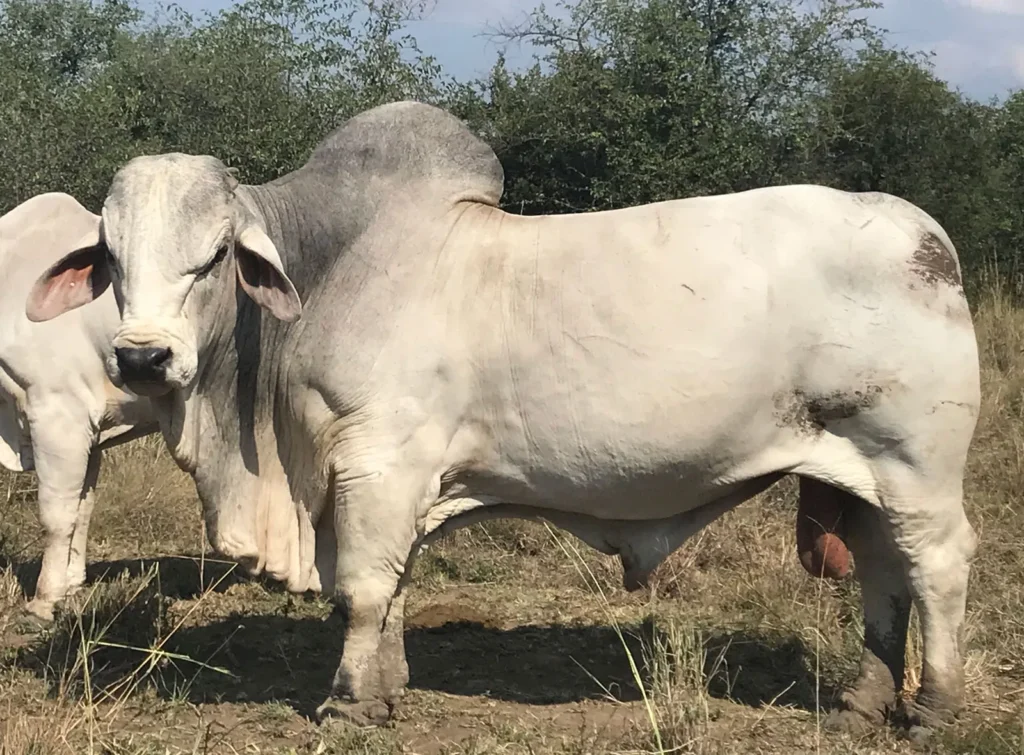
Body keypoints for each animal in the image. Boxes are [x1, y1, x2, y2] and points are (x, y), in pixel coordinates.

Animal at [0, 193, 158, 621]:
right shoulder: (92, 428)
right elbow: (82, 508)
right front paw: (71, 586)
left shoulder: (59, 414)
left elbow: (57, 513)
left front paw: (43, 600)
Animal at [25, 101, 980, 739]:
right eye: (110, 256)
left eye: (215, 254)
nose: (143, 359)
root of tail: (927, 237)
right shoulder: (388, 482)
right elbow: (390, 589)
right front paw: (385, 691)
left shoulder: (377, 463)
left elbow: (363, 589)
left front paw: (346, 702)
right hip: (854, 471)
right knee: (882, 576)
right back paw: (862, 700)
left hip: (916, 466)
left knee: (935, 568)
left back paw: (934, 706)